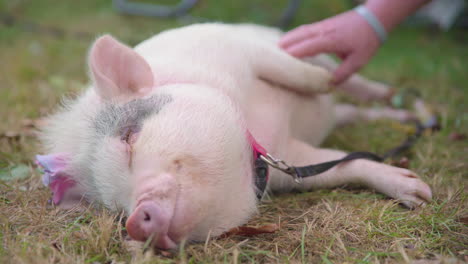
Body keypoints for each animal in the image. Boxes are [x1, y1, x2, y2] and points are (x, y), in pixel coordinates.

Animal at [36, 23, 432, 250]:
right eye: (115, 209)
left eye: (130, 137)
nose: (135, 221)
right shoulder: (291, 161)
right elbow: (340, 165)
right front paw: (417, 194)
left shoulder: (246, 52)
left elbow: (302, 75)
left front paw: (423, 197)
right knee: (350, 113)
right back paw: (408, 116)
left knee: (346, 80)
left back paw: (398, 99)